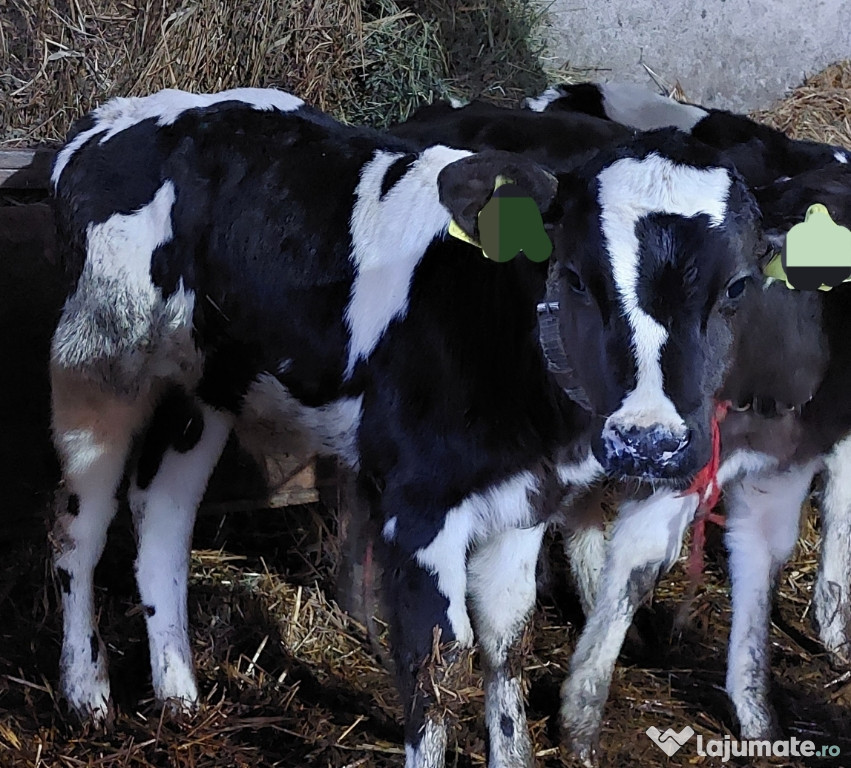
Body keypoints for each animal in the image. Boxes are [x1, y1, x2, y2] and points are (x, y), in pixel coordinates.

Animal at [51, 87, 764, 764]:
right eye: (577, 277)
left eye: (738, 287)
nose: (650, 441)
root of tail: (111, 120)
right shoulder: (421, 506)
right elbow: (436, 658)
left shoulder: (524, 499)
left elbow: (507, 641)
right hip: (96, 368)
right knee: (78, 532)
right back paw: (87, 697)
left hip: (205, 385)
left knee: (162, 512)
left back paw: (179, 696)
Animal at [532, 81, 851, 760]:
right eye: (577, 278)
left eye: (736, 284)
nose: (644, 441)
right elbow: (642, 552)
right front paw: (579, 717)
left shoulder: (778, 445)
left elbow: (763, 546)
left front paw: (758, 712)